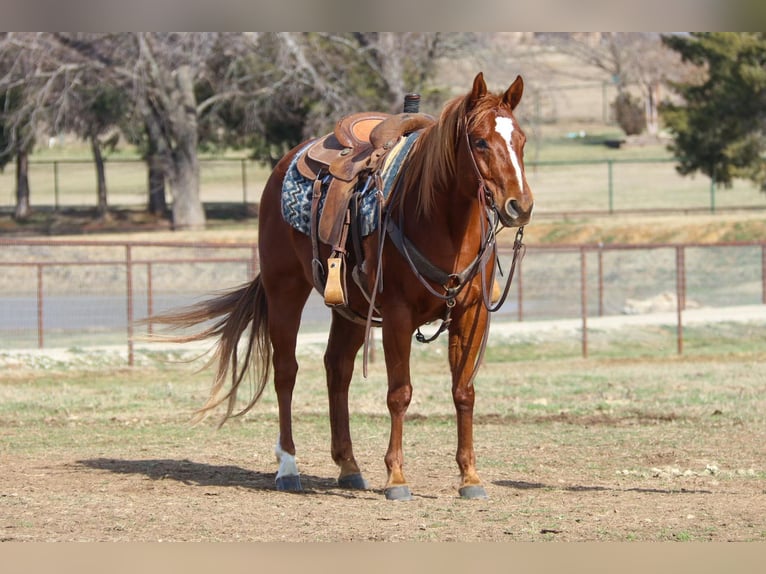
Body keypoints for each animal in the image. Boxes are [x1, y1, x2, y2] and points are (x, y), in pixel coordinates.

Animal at [156, 74, 536, 502]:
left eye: (521, 139)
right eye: (480, 141)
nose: (520, 206)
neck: (439, 222)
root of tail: (286, 163)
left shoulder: (472, 315)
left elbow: (463, 392)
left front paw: (470, 477)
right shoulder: (398, 316)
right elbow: (399, 393)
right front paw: (396, 478)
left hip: (350, 311)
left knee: (337, 369)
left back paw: (349, 466)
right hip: (285, 289)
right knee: (286, 371)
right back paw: (288, 466)